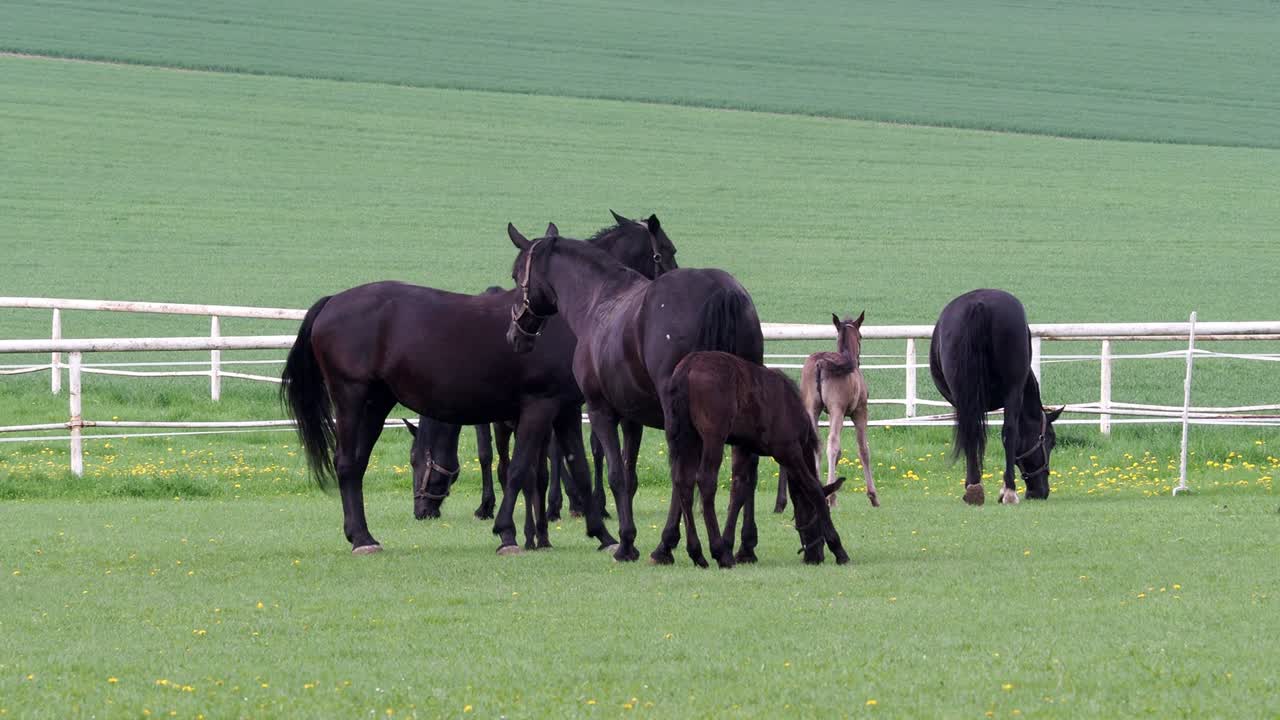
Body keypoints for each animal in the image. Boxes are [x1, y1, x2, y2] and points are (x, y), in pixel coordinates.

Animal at [505, 224, 766, 563]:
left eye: (515, 274)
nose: (515, 334)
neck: (599, 300)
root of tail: (721, 290)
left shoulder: (600, 410)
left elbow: (616, 473)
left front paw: (626, 543)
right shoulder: (632, 418)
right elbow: (629, 476)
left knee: (683, 474)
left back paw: (671, 545)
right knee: (744, 471)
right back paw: (739, 544)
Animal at [660, 351, 850, 567]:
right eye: (815, 518)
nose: (815, 556)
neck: (791, 407)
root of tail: (688, 366)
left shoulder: (744, 448)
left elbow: (739, 491)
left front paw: (730, 544)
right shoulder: (789, 451)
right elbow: (813, 489)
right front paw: (838, 548)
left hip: (688, 438)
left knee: (683, 482)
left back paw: (697, 553)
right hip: (713, 437)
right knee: (705, 481)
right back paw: (719, 553)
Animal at [788, 311, 880, 509]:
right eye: (861, 336)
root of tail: (820, 363)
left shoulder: (829, 414)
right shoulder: (859, 412)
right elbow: (863, 449)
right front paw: (873, 496)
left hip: (811, 409)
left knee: (816, 444)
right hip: (838, 410)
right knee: (832, 444)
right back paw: (832, 498)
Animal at [928, 289, 1064, 505]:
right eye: (1051, 440)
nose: (1040, 492)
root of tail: (979, 305)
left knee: (977, 432)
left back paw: (976, 489)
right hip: (1010, 391)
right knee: (1008, 431)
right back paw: (1006, 490)